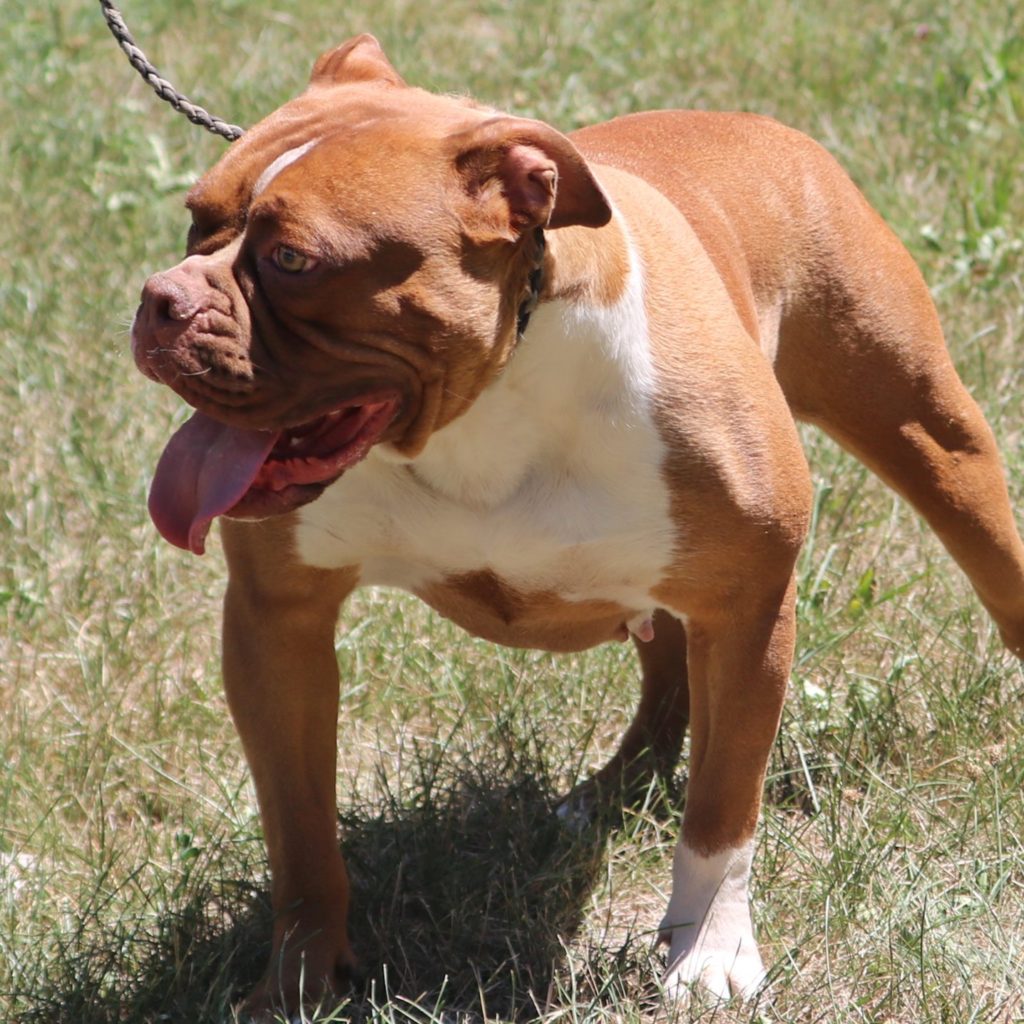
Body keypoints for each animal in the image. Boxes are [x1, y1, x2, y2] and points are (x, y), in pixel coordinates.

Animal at [128, 32, 1024, 1015]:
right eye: (195, 222)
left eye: (293, 261)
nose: (159, 298)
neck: (484, 398)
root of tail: (745, 122)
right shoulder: (277, 620)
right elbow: (298, 832)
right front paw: (298, 979)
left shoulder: (747, 605)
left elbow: (722, 810)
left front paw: (708, 949)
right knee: (666, 669)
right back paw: (612, 790)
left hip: (929, 437)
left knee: (989, 563)